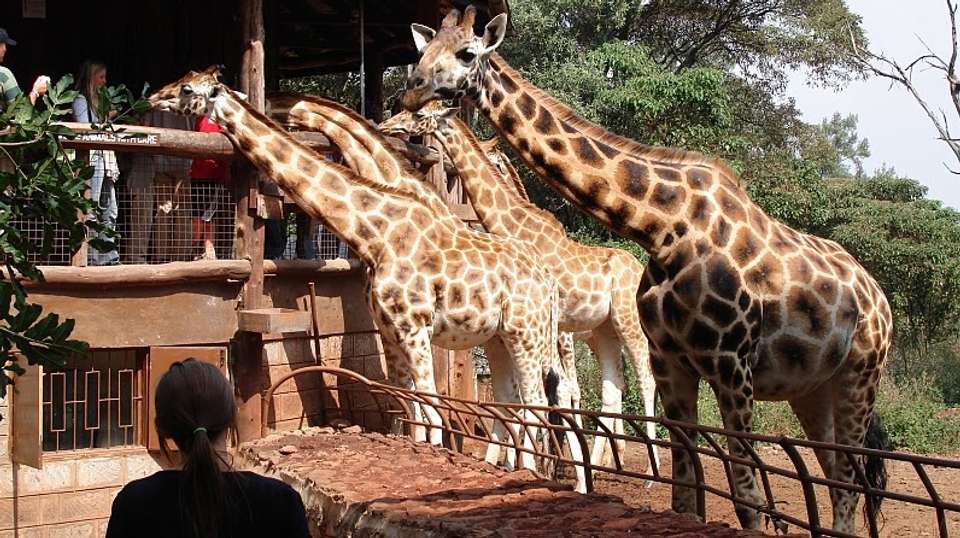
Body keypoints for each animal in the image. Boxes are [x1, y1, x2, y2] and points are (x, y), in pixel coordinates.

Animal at [147, 68, 566, 473]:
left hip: (527, 335)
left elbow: (430, 409)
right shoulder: (390, 329)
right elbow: (409, 407)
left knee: (539, 402)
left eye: (186, 89)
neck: (374, 233)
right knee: (517, 401)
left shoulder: (415, 327)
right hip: (498, 337)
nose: (151, 98)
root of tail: (546, 280)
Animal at [379, 102, 660, 477]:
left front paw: (538, 462)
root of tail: (639, 270)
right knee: (613, 390)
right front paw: (532, 461)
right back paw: (603, 465)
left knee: (645, 380)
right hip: (603, 331)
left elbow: (553, 391)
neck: (515, 227)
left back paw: (648, 473)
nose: (386, 125)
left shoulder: (552, 325)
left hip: (629, 323)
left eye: (419, 115)